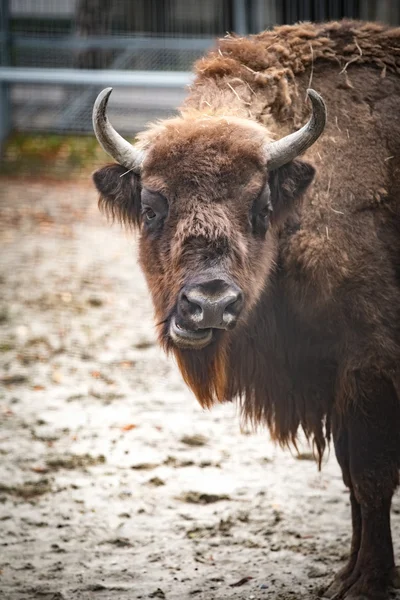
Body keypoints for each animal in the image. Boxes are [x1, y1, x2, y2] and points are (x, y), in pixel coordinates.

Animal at [92, 21, 400, 600]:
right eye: (151, 208)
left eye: (261, 206)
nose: (209, 304)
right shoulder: (335, 378)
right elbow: (352, 477)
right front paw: (344, 576)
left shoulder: (371, 367)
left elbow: (372, 478)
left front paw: (368, 583)